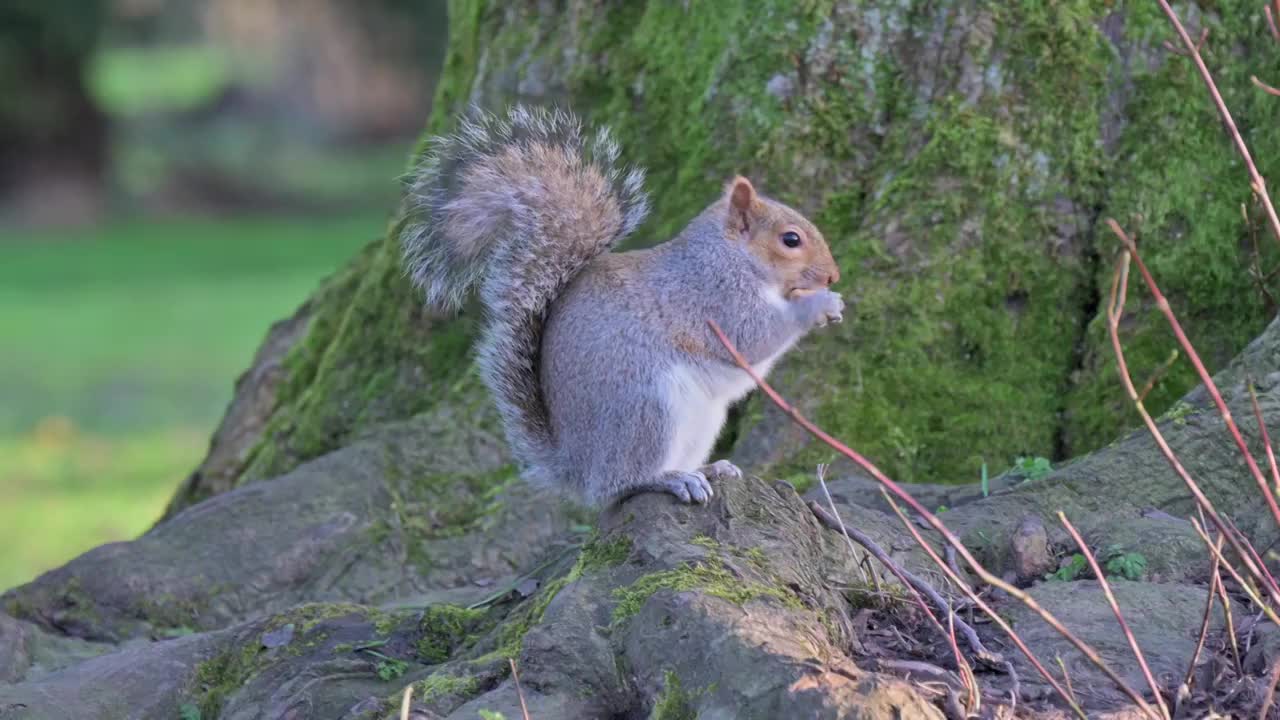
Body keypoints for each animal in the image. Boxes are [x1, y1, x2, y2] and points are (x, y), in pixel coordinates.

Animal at [399, 105, 839, 504]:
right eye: (791, 240)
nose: (833, 276)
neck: (732, 256)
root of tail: (576, 466)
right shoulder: (713, 295)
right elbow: (753, 336)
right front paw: (818, 305)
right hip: (645, 406)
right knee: (616, 485)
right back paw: (670, 480)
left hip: (701, 420)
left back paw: (709, 468)